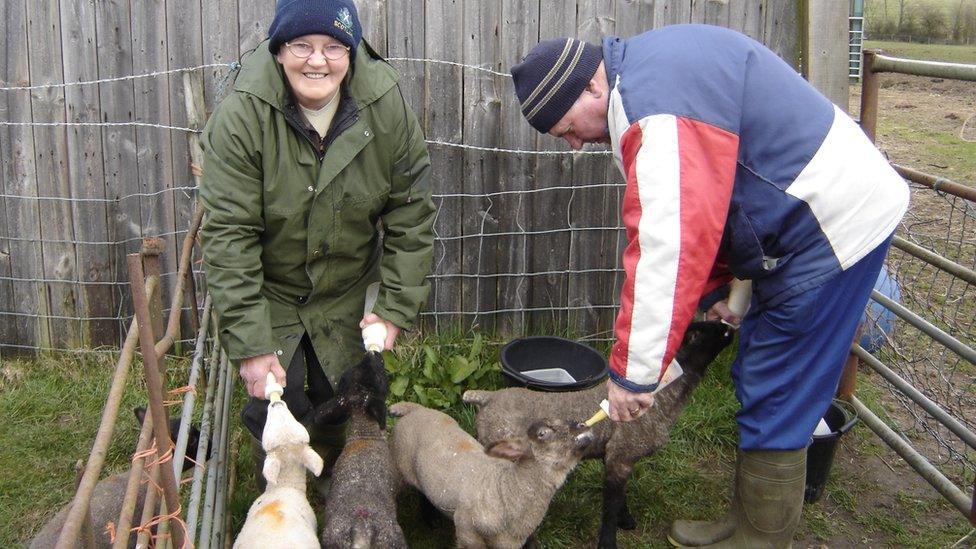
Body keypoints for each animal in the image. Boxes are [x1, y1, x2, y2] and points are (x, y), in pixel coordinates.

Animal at [466, 318, 732, 544]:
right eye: (703, 333)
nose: (730, 324)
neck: (665, 396)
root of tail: (487, 397)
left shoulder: (617, 457)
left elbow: (620, 497)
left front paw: (627, 520)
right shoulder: (620, 456)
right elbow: (610, 506)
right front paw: (609, 541)